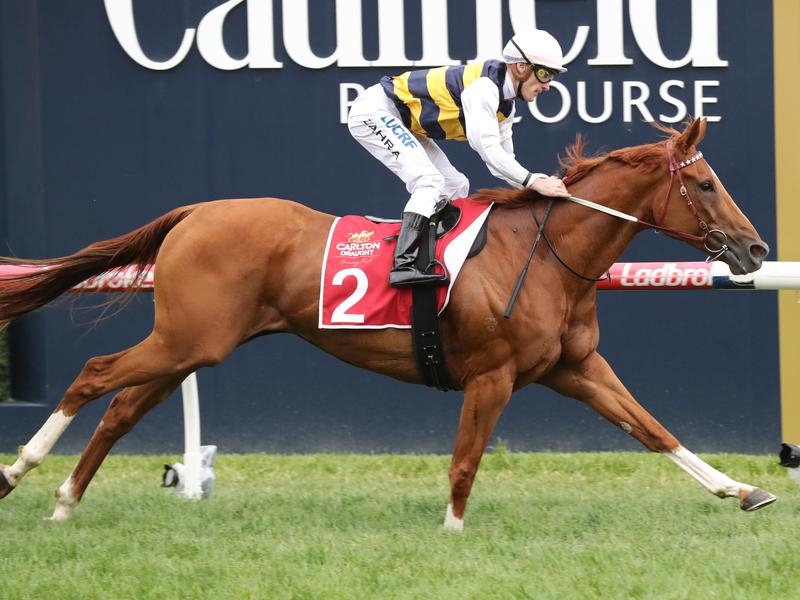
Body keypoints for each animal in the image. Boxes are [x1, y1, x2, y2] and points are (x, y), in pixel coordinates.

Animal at [0, 118, 776, 529]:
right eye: (704, 183)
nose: (757, 250)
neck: (544, 252)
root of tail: (195, 211)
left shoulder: (574, 368)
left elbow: (653, 429)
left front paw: (742, 489)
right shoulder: (493, 375)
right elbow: (466, 458)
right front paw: (453, 530)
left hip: (189, 346)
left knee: (122, 407)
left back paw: (65, 501)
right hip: (188, 339)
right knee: (94, 375)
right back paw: (20, 470)